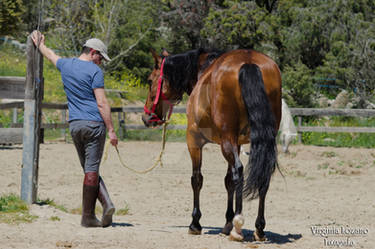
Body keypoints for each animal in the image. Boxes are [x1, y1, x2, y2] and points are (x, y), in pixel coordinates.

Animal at [142, 47, 280, 240]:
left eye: (150, 80)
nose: (146, 117)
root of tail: (248, 61)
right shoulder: (236, 143)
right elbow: (228, 181)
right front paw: (227, 222)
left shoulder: (194, 142)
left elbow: (197, 179)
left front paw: (195, 223)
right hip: (262, 141)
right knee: (262, 176)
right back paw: (259, 229)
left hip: (226, 142)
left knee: (239, 171)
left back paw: (238, 226)